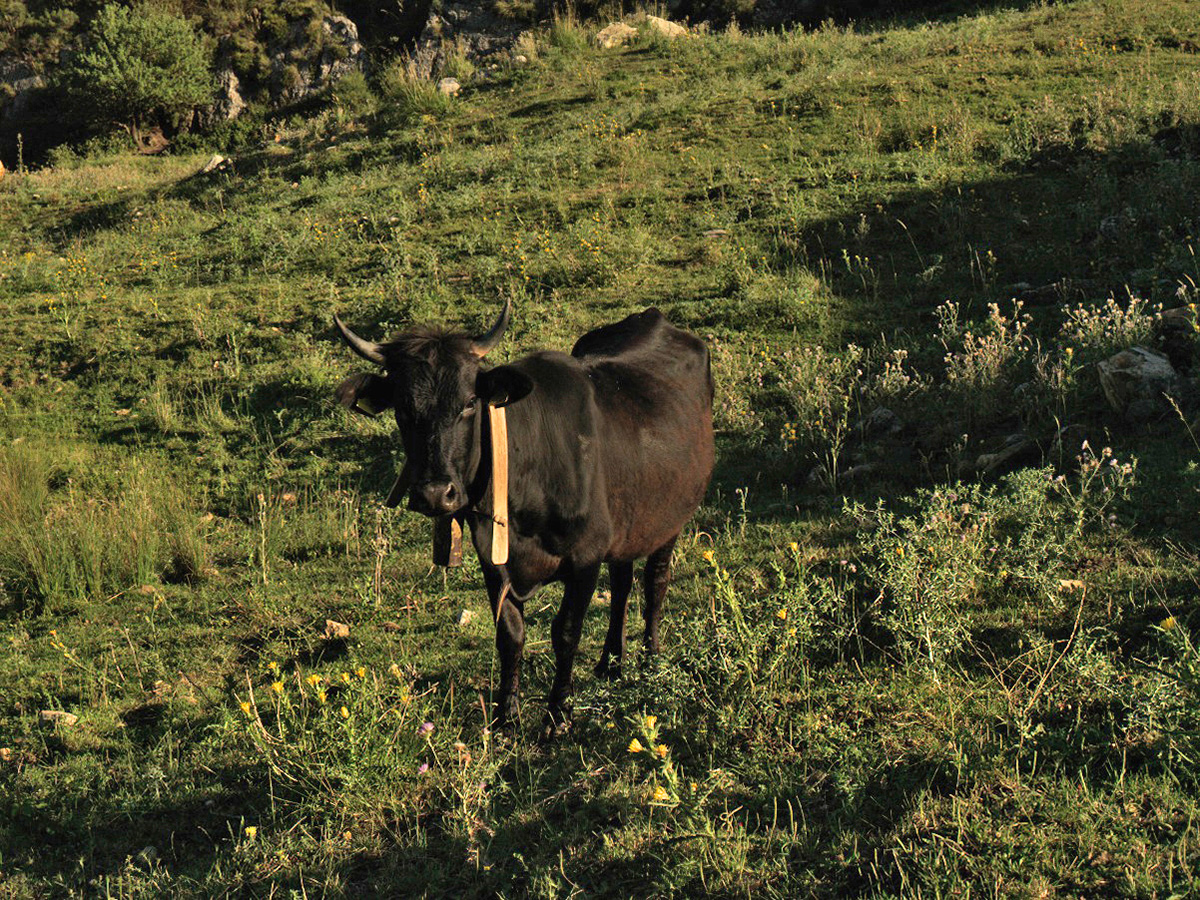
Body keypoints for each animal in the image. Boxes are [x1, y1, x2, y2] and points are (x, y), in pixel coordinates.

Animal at [333, 301, 714, 736]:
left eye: (470, 402)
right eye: (402, 409)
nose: (434, 493)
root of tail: (655, 318)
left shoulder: (585, 557)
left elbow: (566, 632)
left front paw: (558, 715)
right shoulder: (492, 559)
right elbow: (510, 634)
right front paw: (506, 713)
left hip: (669, 520)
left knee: (654, 583)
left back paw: (649, 659)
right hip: (628, 523)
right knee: (622, 582)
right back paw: (610, 664)